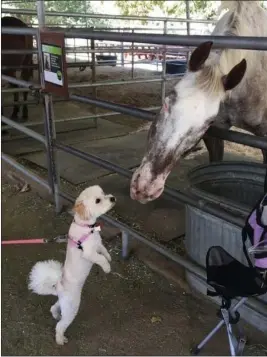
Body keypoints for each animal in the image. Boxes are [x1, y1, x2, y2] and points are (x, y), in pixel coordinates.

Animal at [27, 185, 116, 344]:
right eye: (98, 200)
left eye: (104, 193)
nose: (112, 198)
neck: (86, 227)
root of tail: (58, 286)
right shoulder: (89, 253)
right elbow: (101, 259)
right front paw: (107, 268)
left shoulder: (98, 245)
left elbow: (104, 252)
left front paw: (109, 258)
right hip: (72, 307)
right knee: (60, 325)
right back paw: (60, 339)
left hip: (64, 303)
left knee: (54, 307)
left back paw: (56, 314)